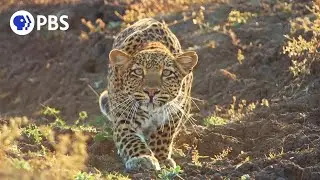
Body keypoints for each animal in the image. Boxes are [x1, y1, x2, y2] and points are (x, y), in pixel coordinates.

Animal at [99, 18, 198, 172]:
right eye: (138, 72)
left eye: (166, 73)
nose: (151, 91)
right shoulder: (123, 117)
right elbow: (130, 139)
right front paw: (142, 158)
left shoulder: (176, 110)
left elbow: (163, 135)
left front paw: (161, 159)